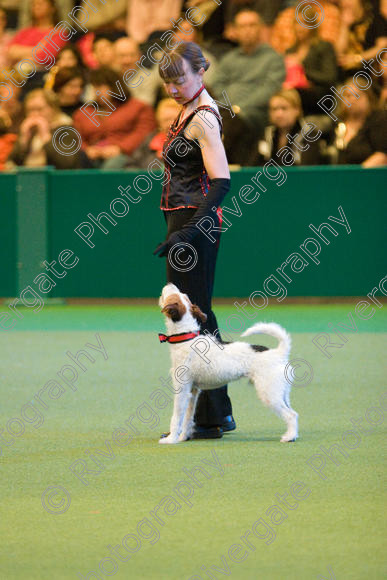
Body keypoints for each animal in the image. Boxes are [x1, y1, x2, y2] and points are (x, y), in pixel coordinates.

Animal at [159, 284, 298, 444]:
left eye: (172, 296)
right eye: (182, 295)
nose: (169, 284)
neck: (186, 338)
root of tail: (279, 353)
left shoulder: (181, 390)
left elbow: (176, 418)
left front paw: (171, 439)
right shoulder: (193, 391)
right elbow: (187, 419)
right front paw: (183, 437)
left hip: (270, 394)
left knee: (290, 415)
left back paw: (289, 437)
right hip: (282, 393)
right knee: (294, 413)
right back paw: (293, 434)